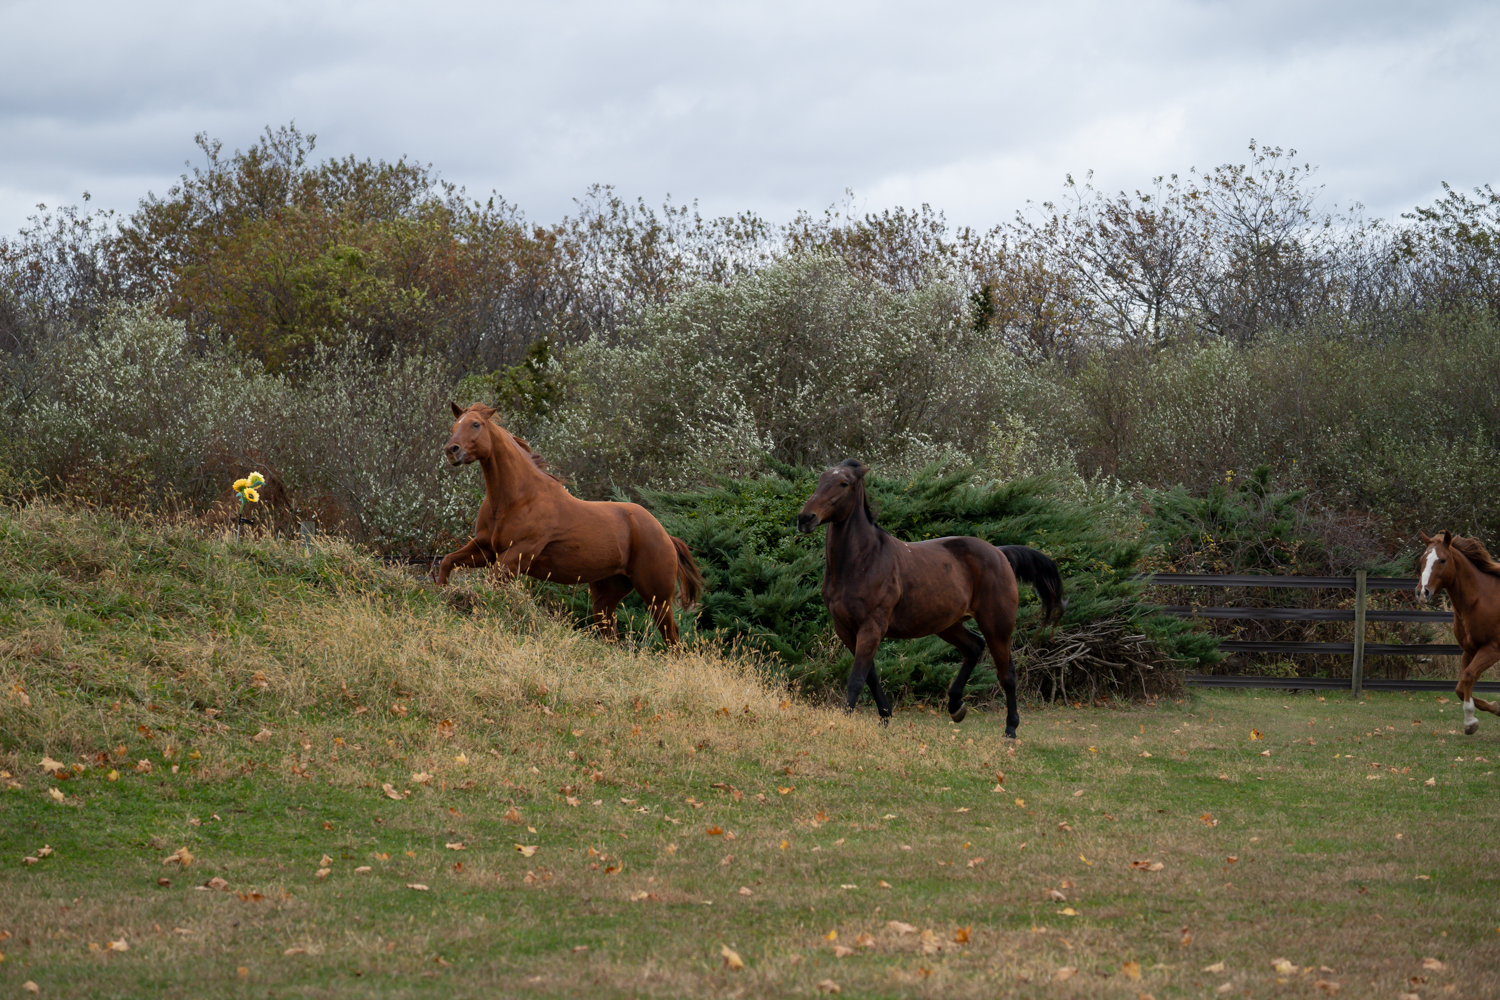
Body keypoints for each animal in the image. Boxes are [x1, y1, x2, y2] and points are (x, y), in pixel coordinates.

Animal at [437, 402, 704, 645]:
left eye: (476, 424)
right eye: (453, 426)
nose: (452, 450)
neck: (516, 498)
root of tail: (667, 537)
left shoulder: (516, 555)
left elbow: (489, 585)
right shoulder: (485, 549)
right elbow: (448, 561)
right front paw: (441, 595)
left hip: (657, 597)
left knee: (673, 638)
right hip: (606, 597)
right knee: (612, 637)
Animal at [796, 459, 1064, 737]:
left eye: (843, 483)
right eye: (821, 478)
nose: (805, 518)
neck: (863, 561)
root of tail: (1000, 553)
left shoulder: (871, 627)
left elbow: (857, 679)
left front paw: (841, 723)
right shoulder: (845, 628)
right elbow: (870, 676)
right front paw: (885, 716)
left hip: (997, 625)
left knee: (1007, 674)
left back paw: (1010, 730)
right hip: (947, 625)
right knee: (974, 647)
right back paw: (956, 706)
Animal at [1416, 530, 1500, 735]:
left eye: (1442, 560)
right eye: (1422, 560)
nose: (1422, 593)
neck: (1480, 599)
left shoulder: (1492, 649)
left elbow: (1468, 677)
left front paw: (1470, 721)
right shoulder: (1469, 650)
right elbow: (1460, 688)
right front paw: (1495, 708)